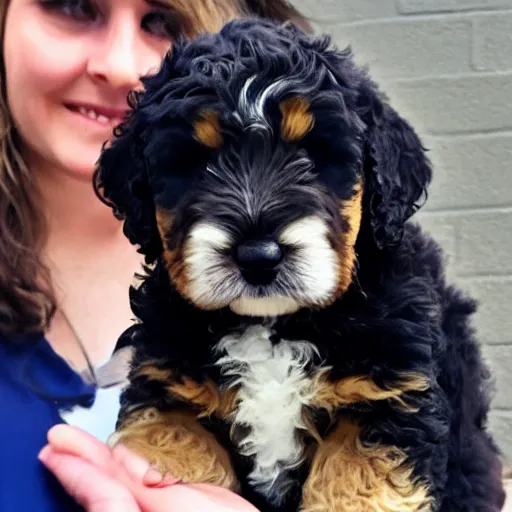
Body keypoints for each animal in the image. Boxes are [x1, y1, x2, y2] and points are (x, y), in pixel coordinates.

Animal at [94, 18, 506, 510]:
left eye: (312, 156)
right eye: (196, 164)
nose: (258, 257)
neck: (273, 325)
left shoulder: (391, 394)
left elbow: (353, 481)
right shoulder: (168, 385)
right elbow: (172, 438)